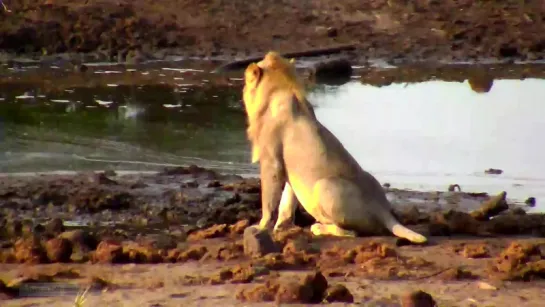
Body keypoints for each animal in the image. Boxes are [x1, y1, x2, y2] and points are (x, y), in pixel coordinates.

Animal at [242, 52, 430, 245]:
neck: (280, 89)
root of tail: (382, 209)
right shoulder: (287, 168)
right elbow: (286, 202)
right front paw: (280, 228)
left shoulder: (271, 161)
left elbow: (269, 201)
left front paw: (260, 227)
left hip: (324, 187)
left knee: (351, 232)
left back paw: (318, 227)